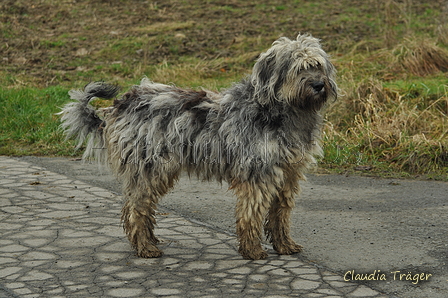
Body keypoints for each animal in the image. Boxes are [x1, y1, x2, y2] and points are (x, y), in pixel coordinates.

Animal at [61, 33, 338, 260]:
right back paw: (146, 248)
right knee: (136, 209)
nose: (318, 85)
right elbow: (251, 214)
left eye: (317, 66)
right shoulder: (257, 175)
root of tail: (120, 104)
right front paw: (252, 250)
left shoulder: (288, 175)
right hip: (150, 169)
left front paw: (284, 245)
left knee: (138, 207)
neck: (281, 109)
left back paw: (148, 241)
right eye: (300, 68)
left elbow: (280, 213)